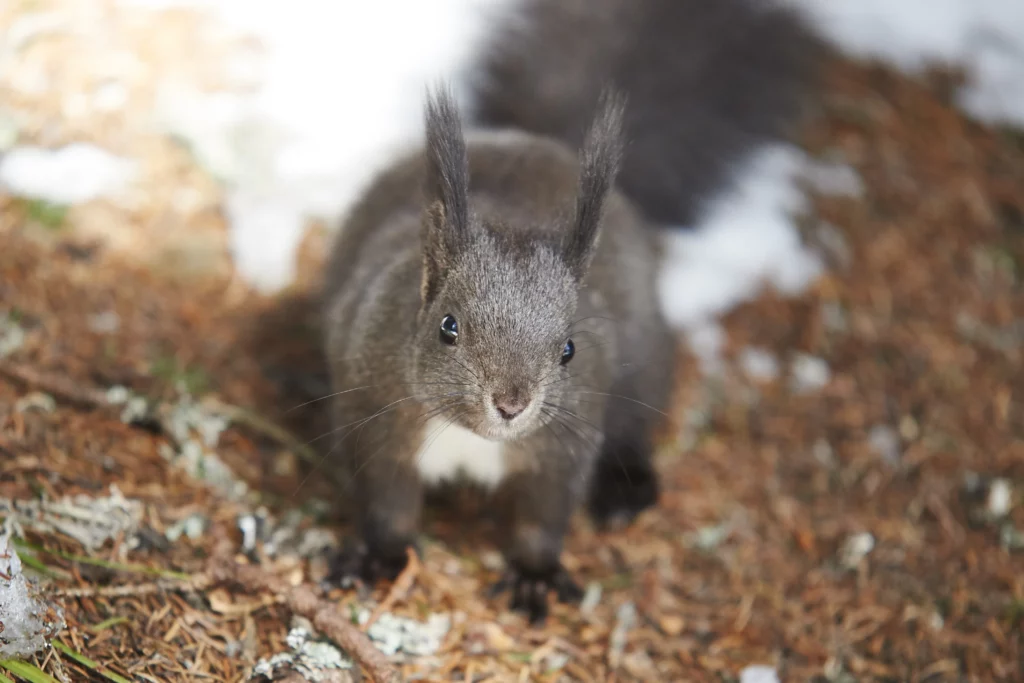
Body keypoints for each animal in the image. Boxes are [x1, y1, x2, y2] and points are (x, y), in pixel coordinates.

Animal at [320, 0, 822, 624]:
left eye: (568, 348)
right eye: (448, 327)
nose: (511, 405)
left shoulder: (563, 446)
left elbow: (544, 517)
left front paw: (535, 577)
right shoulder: (377, 421)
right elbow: (389, 506)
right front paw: (378, 560)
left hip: (645, 363)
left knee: (634, 428)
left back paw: (626, 489)